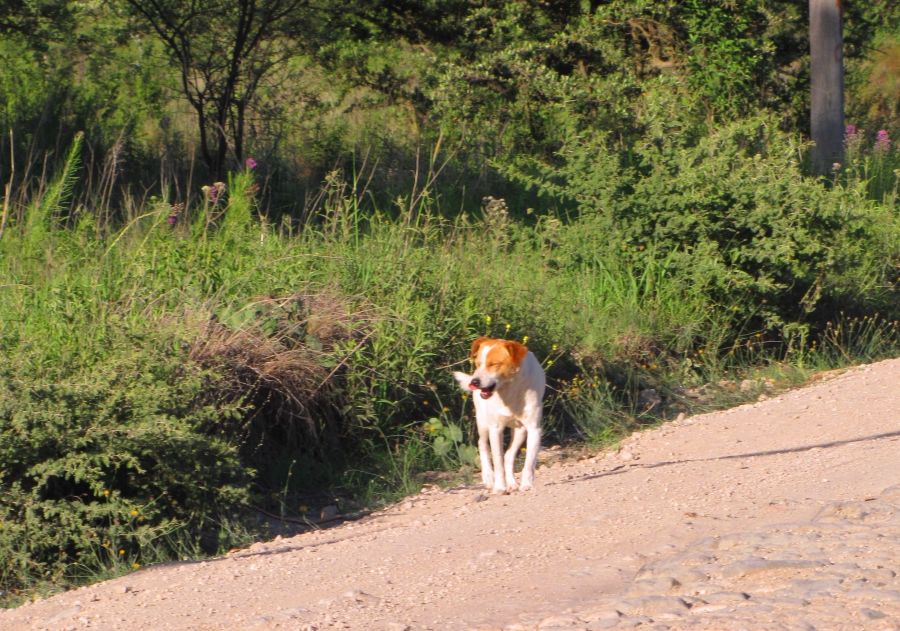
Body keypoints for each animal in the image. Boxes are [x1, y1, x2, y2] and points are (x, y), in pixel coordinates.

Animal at [454, 336, 544, 494]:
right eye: (478, 364)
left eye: (494, 364)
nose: (474, 382)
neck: (509, 388)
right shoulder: (495, 429)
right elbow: (497, 461)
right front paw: (500, 487)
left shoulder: (534, 429)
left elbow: (529, 461)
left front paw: (526, 484)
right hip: (483, 423)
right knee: (482, 444)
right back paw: (489, 477)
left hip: (520, 431)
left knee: (508, 456)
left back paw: (512, 483)